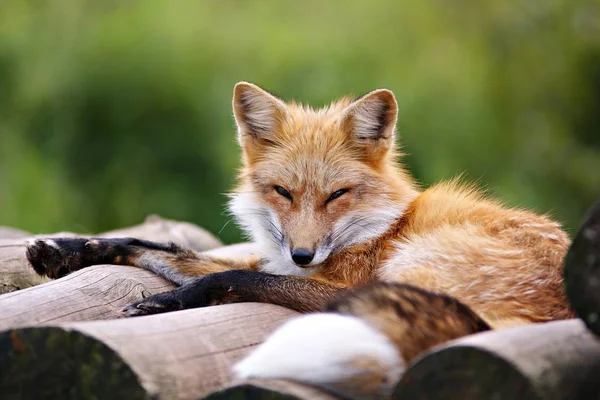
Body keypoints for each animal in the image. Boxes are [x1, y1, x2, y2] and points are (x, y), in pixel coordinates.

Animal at [25, 83, 576, 398]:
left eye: (337, 195)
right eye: (283, 192)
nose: (304, 254)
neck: (379, 228)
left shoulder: (337, 284)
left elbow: (232, 275)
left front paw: (172, 300)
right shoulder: (278, 264)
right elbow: (153, 246)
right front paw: (67, 250)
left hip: (409, 272)